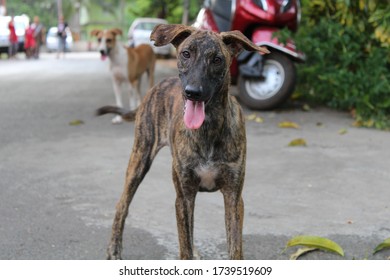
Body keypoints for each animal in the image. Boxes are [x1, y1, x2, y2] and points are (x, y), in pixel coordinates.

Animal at [97, 24, 268, 260]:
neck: (208, 128)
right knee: (122, 205)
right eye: (186, 54)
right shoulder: (183, 196)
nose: (193, 92)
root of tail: (158, 85)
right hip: (139, 160)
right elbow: (184, 244)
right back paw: (114, 250)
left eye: (217, 59)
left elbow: (234, 249)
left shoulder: (233, 197)